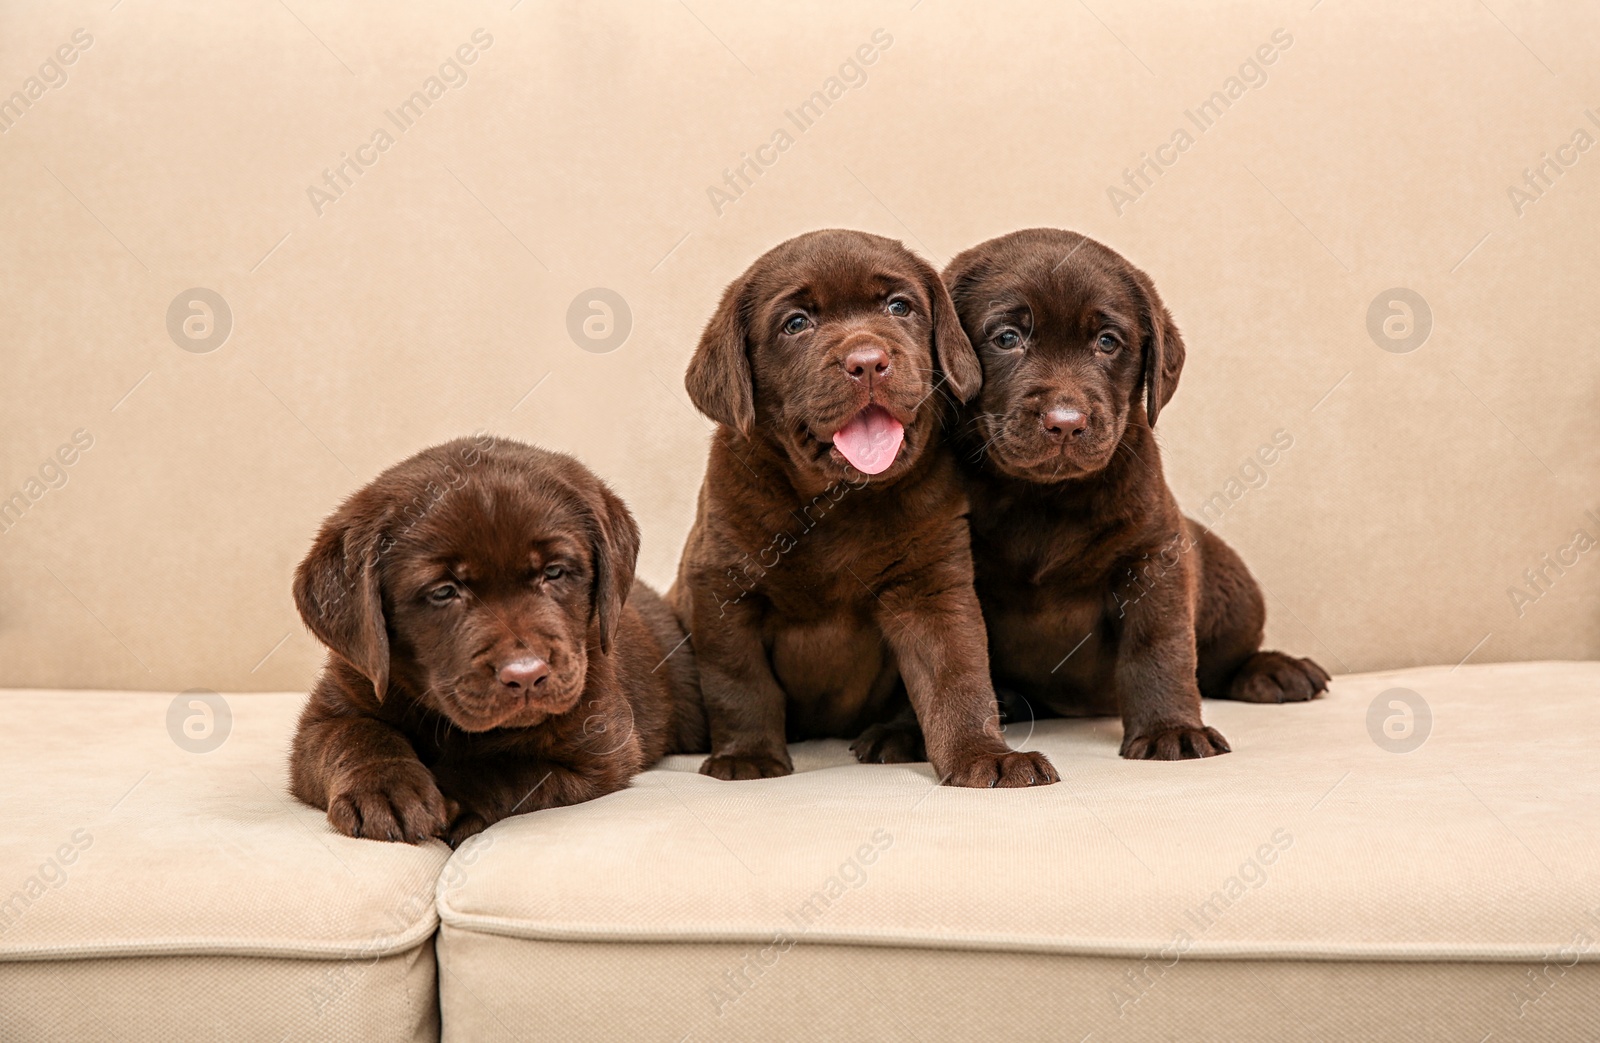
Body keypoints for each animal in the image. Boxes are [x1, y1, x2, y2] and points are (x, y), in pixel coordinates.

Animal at [291, 435, 704, 844]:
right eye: (444, 592)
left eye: (555, 572)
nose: (526, 675)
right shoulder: (337, 702)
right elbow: (352, 734)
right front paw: (387, 789)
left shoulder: (601, 748)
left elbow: (503, 769)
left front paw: (448, 791)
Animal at [665, 225, 1056, 780]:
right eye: (796, 323)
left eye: (898, 307)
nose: (868, 362)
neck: (837, 499)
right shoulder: (721, 586)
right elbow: (739, 683)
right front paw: (747, 756)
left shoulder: (931, 587)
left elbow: (957, 677)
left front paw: (985, 756)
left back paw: (894, 737)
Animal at [940, 230, 1331, 758]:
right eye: (1006, 338)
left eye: (1107, 342)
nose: (1066, 422)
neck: (1043, 497)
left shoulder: (1153, 553)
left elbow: (1158, 646)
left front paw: (1171, 729)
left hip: (1231, 590)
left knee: (1220, 663)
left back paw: (1275, 670)